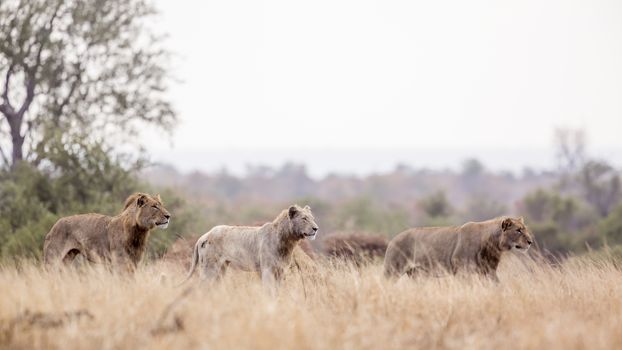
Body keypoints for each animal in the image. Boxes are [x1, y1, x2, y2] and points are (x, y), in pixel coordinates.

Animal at [43, 191, 172, 270]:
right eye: (154, 206)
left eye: (161, 205)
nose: (168, 216)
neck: (139, 232)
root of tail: (54, 225)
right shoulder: (120, 262)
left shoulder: (134, 262)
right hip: (52, 258)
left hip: (67, 258)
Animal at [182, 204, 320, 292]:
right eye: (304, 218)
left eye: (313, 218)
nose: (316, 228)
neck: (287, 241)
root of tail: (203, 236)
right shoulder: (267, 269)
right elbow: (269, 290)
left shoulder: (281, 270)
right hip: (210, 267)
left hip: (221, 268)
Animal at [386, 217, 536, 280]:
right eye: (518, 230)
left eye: (525, 229)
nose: (530, 242)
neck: (493, 246)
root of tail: (393, 239)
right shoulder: (463, 271)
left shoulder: (489, 272)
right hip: (392, 271)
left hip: (416, 275)